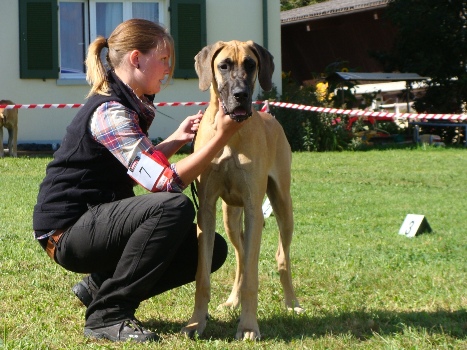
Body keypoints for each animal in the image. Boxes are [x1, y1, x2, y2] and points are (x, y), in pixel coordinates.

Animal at [183, 40, 308, 340]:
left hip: (283, 205)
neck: (230, 134)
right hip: (229, 216)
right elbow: (203, 276)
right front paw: (196, 322)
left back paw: (292, 303)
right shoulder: (207, 209)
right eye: (224, 65)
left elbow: (252, 275)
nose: (241, 95)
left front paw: (249, 326)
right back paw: (232, 301)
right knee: (240, 258)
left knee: (281, 256)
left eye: (251, 65)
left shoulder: (253, 209)